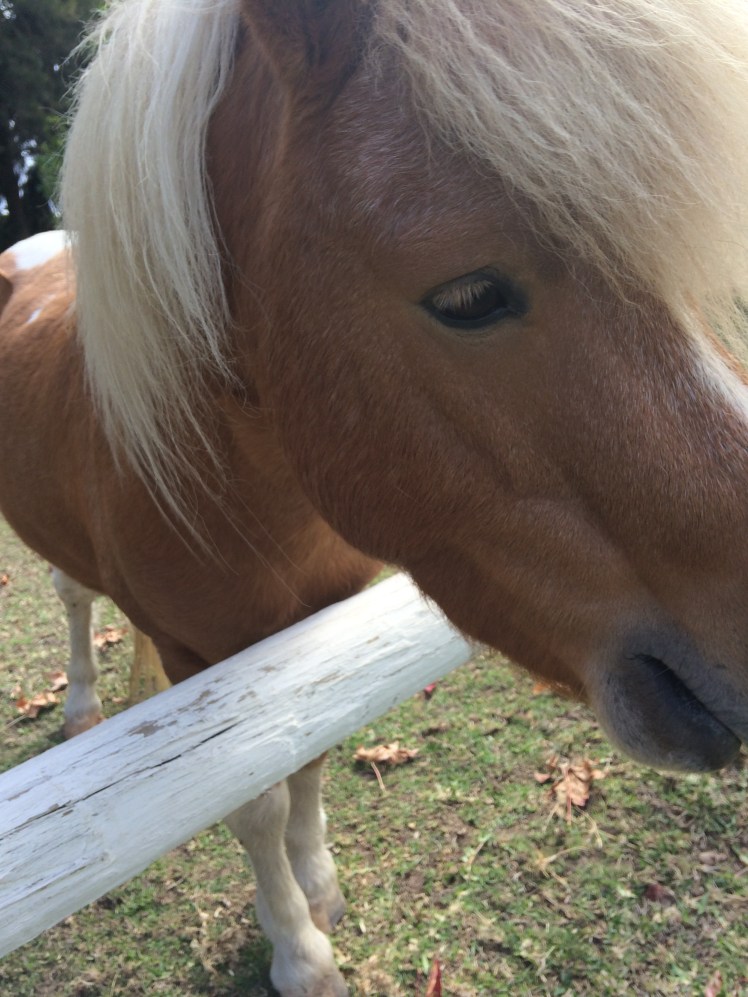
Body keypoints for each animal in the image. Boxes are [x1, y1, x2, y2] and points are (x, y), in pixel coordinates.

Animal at [1, 1, 748, 993]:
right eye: (467, 295)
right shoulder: (199, 659)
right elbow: (252, 801)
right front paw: (298, 950)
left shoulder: (316, 627)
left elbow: (307, 756)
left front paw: (318, 885)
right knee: (74, 597)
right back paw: (83, 704)